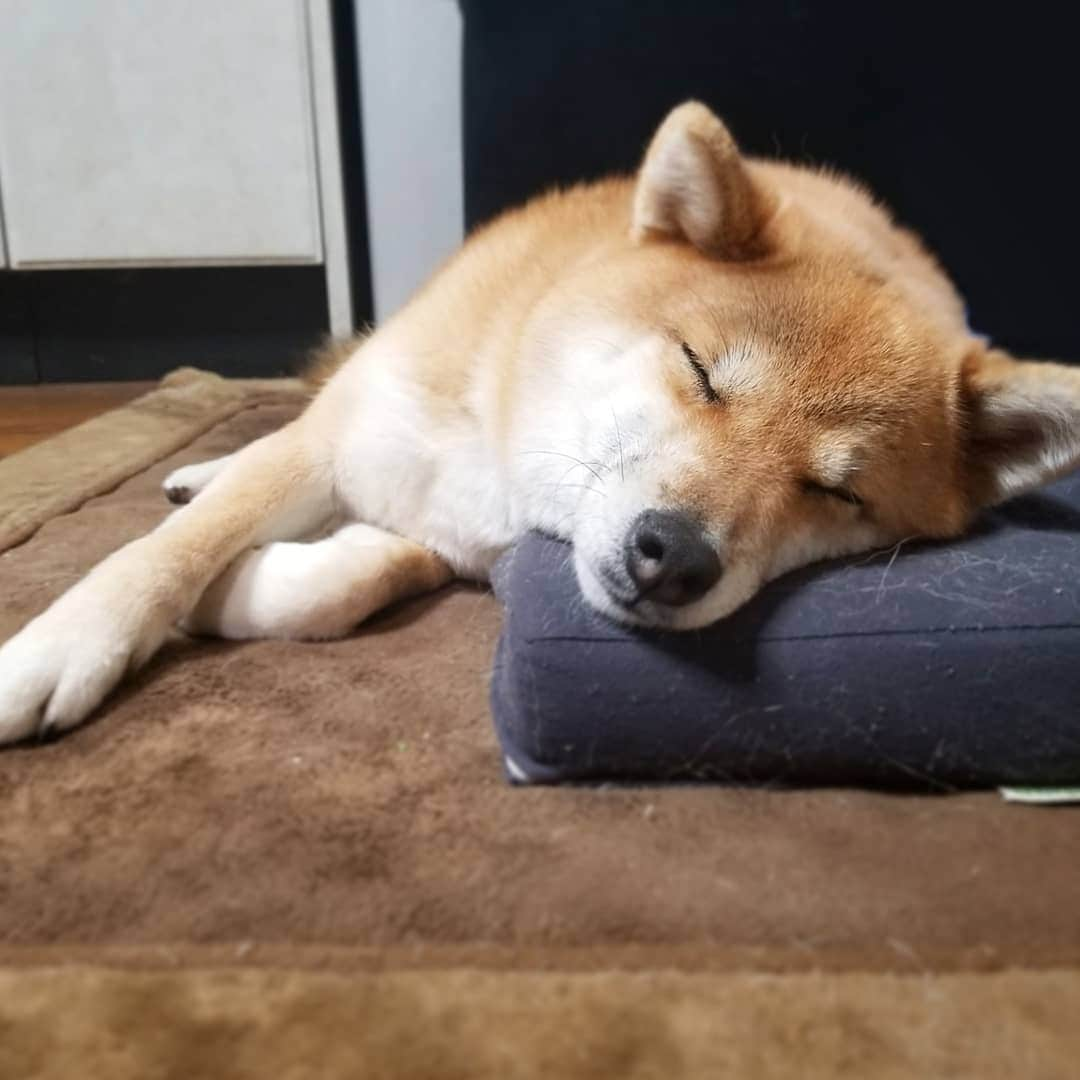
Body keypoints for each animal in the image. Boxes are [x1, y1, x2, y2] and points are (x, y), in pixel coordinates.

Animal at [2, 103, 1080, 743]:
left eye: (838, 493)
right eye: (701, 375)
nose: (672, 558)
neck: (496, 421)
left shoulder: (455, 533)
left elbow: (344, 583)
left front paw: (240, 593)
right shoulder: (346, 437)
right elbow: (163, 553)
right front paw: (65, 645)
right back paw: (199, 470)